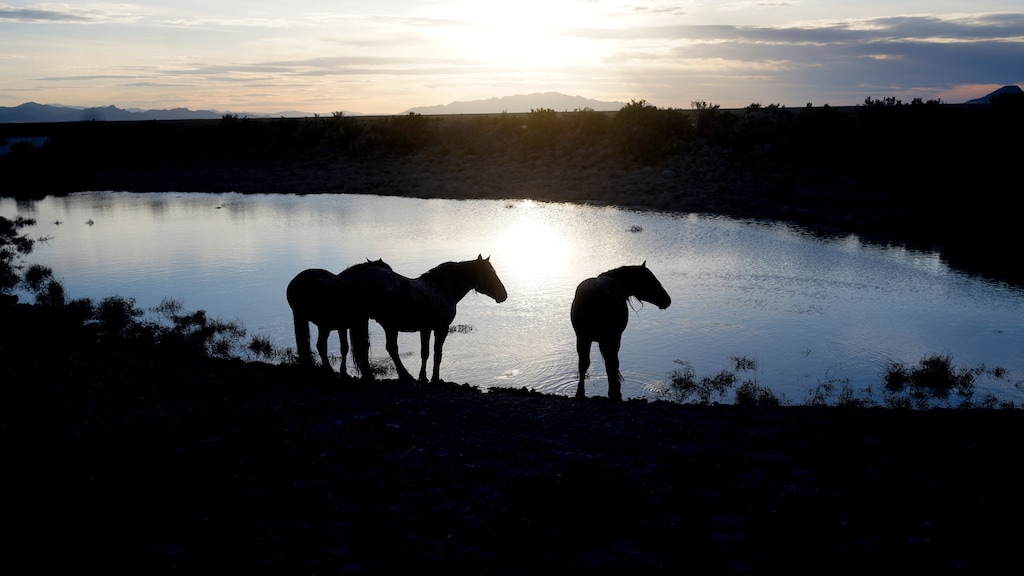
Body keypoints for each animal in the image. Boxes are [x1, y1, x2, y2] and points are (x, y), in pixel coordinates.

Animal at [349, 255, 507, 384]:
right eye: (489, 273)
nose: (503, 295)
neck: (443, 286)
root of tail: (358, 280)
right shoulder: (441, 328)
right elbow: (438, 353)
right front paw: (435, 378)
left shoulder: (425, 329)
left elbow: (424, 353)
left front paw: (423, 377)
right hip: (389, 325)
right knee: (391, 349)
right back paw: (406, 377)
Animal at [570, 262, 671, 401]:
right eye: (650, 280)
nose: (667, 300)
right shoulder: (615, 337)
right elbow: (613, 363)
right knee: (609, 363)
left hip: (583, 338)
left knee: (584, 364)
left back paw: (581, 393)